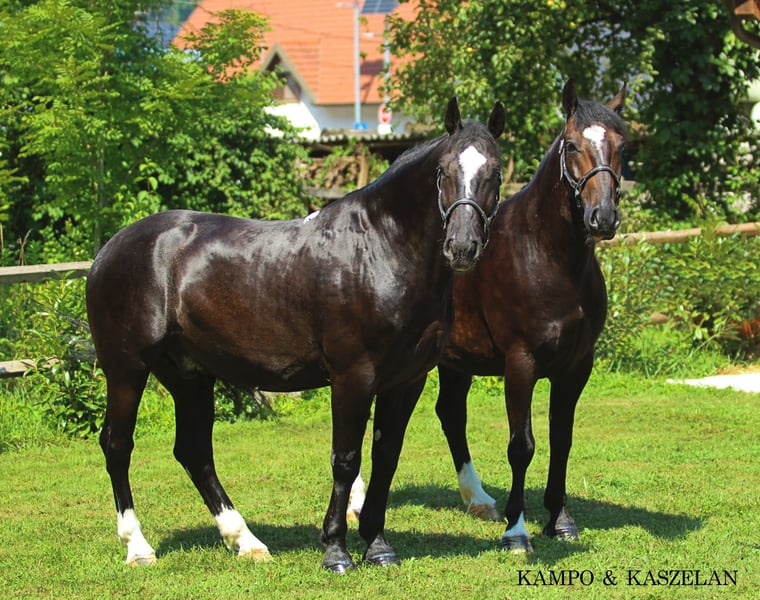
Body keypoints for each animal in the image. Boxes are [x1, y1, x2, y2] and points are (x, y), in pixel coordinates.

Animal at [86, 97, 505, 573]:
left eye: (495, 173)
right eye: (443, 171)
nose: (462, 247)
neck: (379, 249)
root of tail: (109, 250)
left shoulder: (406, 380)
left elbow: (386, 457)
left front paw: (378, 545)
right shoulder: (352, 376)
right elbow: (346, 460)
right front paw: (337, 551)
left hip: (189, 376)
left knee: (193, 452)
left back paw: (245, 540)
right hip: (126, 369)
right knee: (118, 445)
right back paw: (138, 546)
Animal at [433, 80, 627, 552]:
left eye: (622, 146)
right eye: (572, 144)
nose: (603, 218)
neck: (545, 255)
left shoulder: (576, 367)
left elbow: (562, 439)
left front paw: (560, 519)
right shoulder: (520, 362)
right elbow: (521, 445)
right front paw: (517, 530)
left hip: (455, 361)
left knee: (451, 414)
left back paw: (479, 500)